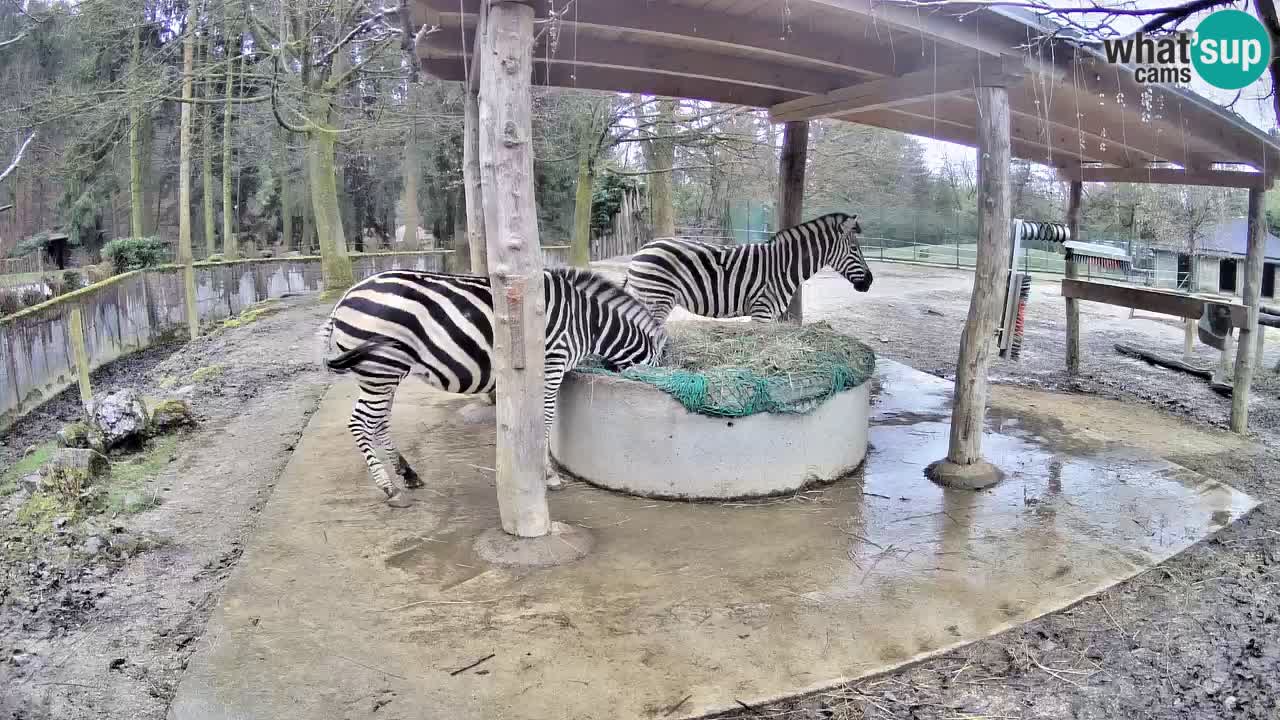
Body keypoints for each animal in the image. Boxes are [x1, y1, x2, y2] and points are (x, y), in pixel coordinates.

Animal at [320, 265, 670, 504]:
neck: (588, 322)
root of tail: (343, 300)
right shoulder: (552, 363)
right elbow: (544, 420)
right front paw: (549, 476)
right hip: (380, 369)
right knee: (360, 422)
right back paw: (389, 488)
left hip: (383, 373)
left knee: (378, 422)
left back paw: (409, 474)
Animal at [624, 210, 875, 322]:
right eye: (855, 249)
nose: (870, 281)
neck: (784, 265)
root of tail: (641, 251)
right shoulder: (762, 310)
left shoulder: (770, 315)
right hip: (657, 299)